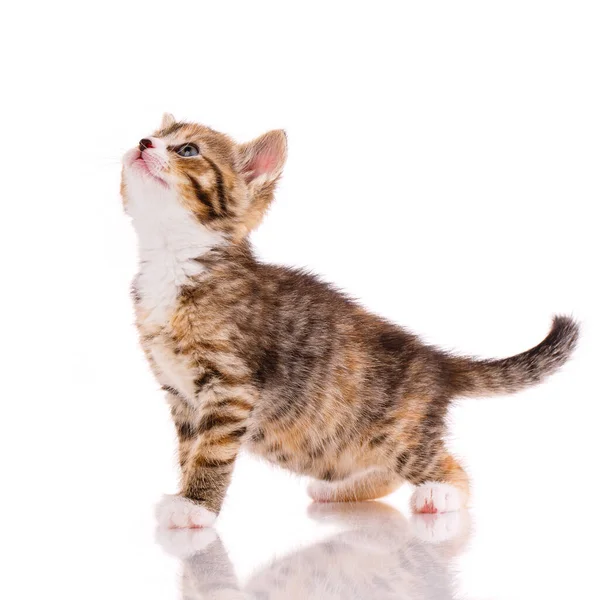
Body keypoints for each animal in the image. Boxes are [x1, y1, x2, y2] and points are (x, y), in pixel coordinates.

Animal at [120, 115, 576, 528]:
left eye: (187, 150)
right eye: (154, 135)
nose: (143, 143)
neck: (173, 261)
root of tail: (435, 360)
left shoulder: (230, 387)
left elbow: (211, 452)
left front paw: (195, 506)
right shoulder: (180, 395)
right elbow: (189, 450)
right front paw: (185, 493)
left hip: (399, 434)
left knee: (447, 467)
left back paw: (440, 493)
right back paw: (341, 488)